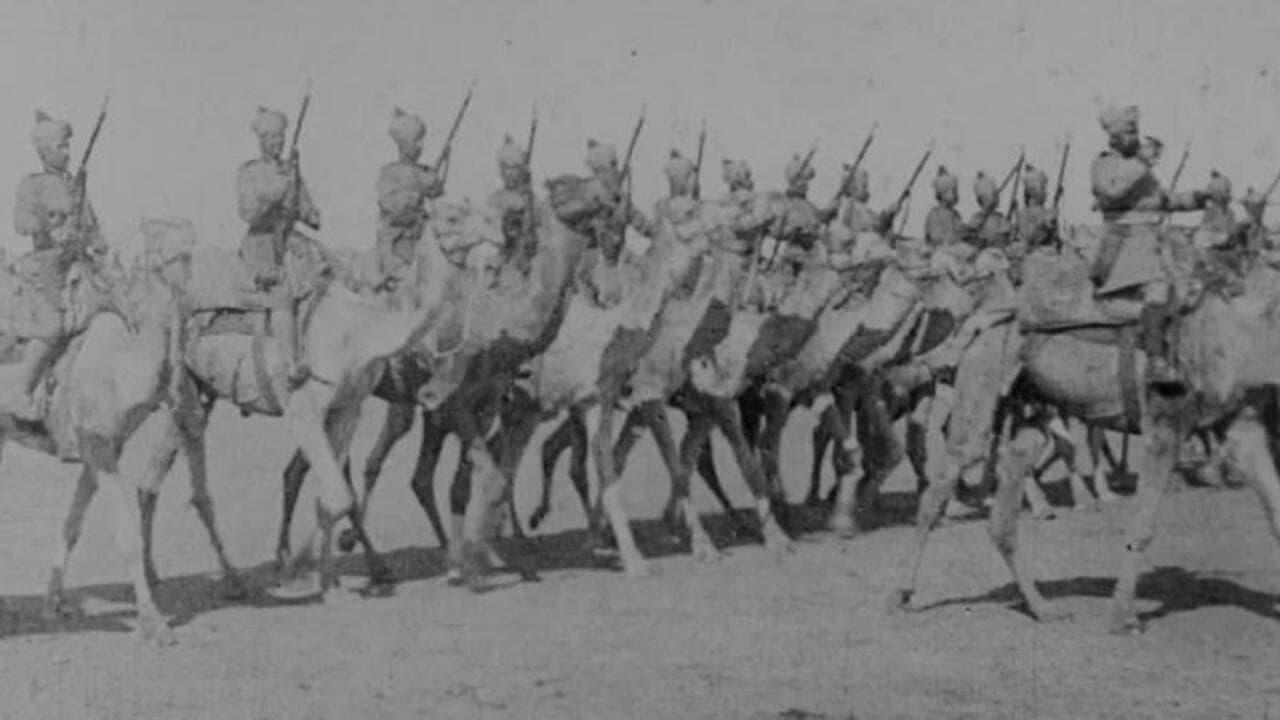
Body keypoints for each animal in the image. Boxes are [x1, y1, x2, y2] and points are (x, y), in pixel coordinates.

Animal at [890, 234, 1280, 627]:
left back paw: (1043, 607)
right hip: (979, 389)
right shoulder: (1165, 425)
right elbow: (1143, 526)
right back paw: (903, 593)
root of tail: (980, 328)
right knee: (941, 484)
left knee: (1006, 505)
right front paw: (1122, 616)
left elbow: (1275, 510)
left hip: (1028, 414)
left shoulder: (1239, 423)